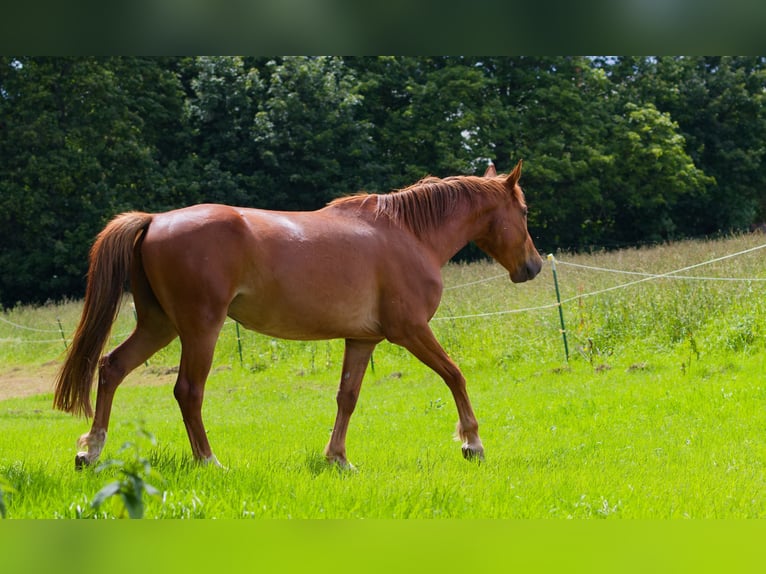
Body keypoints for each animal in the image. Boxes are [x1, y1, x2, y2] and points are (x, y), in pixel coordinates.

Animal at [52, 160, 544, 470]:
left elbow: (348, 397)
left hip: (159, 325)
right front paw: (472, 443)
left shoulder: (362, 339)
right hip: (199, 329)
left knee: (111, 368)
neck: (408, 234)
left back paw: (90, 452)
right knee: (187, 392)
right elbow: (455, 375)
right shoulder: (411, 331)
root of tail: (154, 219)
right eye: (523, 211)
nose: (534, 267)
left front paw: (338, 459)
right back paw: (209, 461)